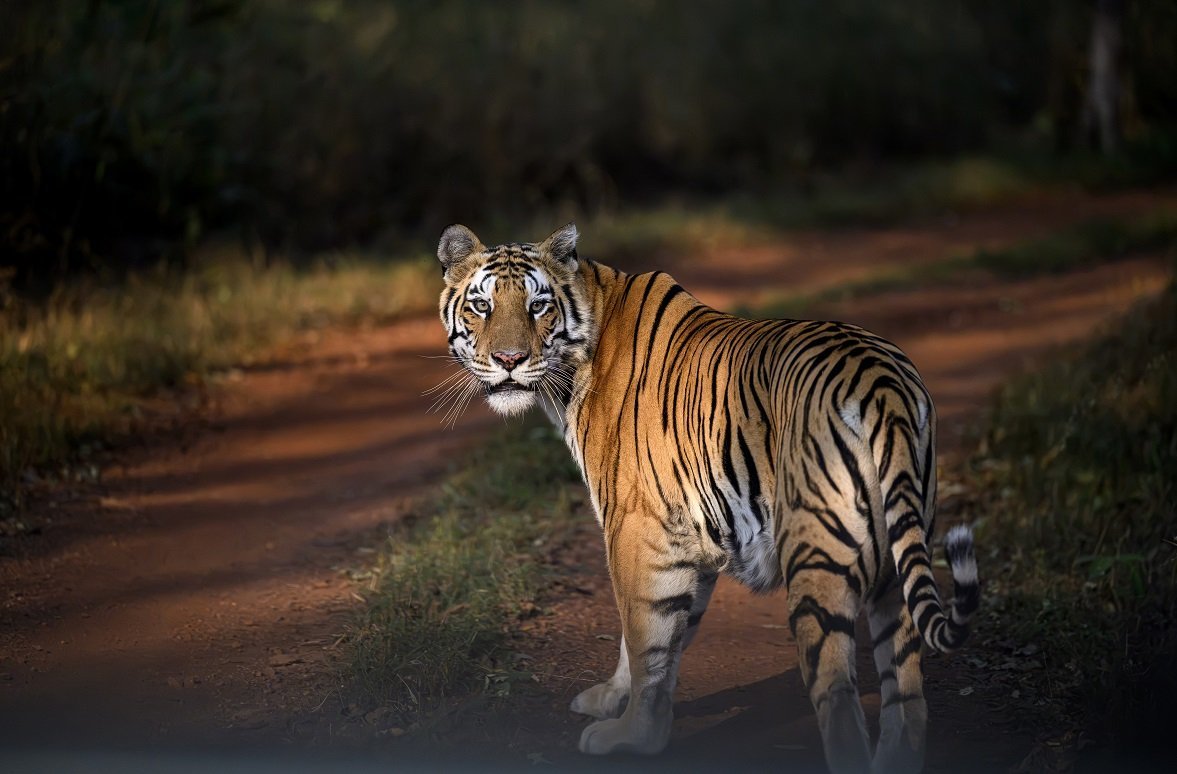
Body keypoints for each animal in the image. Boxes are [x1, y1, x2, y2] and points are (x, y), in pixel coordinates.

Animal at [435, 223, 979, 773]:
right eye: (481, 306)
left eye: (538, 306)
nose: (509, 360)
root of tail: (881, 383)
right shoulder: (690, 536)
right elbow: (664, 637)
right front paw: (618, 704)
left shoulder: (636, 528)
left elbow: (644, 636)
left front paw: (631, 735)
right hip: (896, 568)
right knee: (907, 698)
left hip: (815, 561)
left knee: (839, 701)